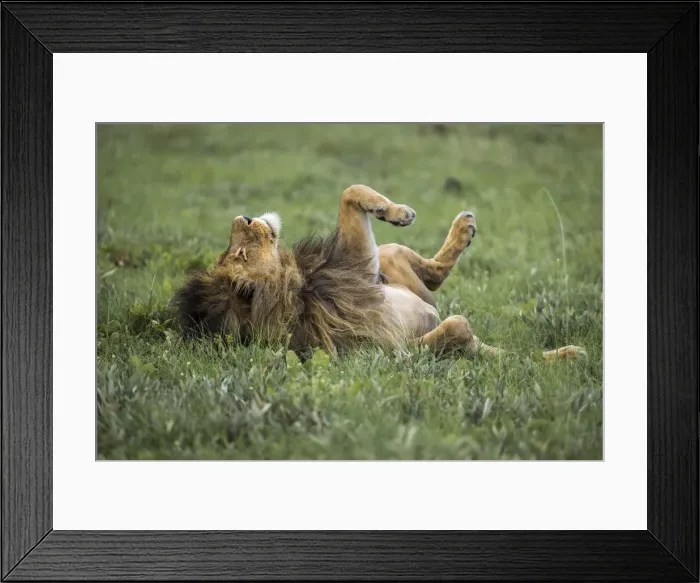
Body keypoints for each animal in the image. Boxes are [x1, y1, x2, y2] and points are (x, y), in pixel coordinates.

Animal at [173, 184, 584, 361]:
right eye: (240, 253)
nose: (241, 217)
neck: (300, 285)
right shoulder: (393, 353)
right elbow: (459, 331)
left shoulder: (361, 267)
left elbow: (349, 191)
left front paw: (394, 210)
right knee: (452, 314)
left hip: (390, 258)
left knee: (430, 272)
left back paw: (463, 227)